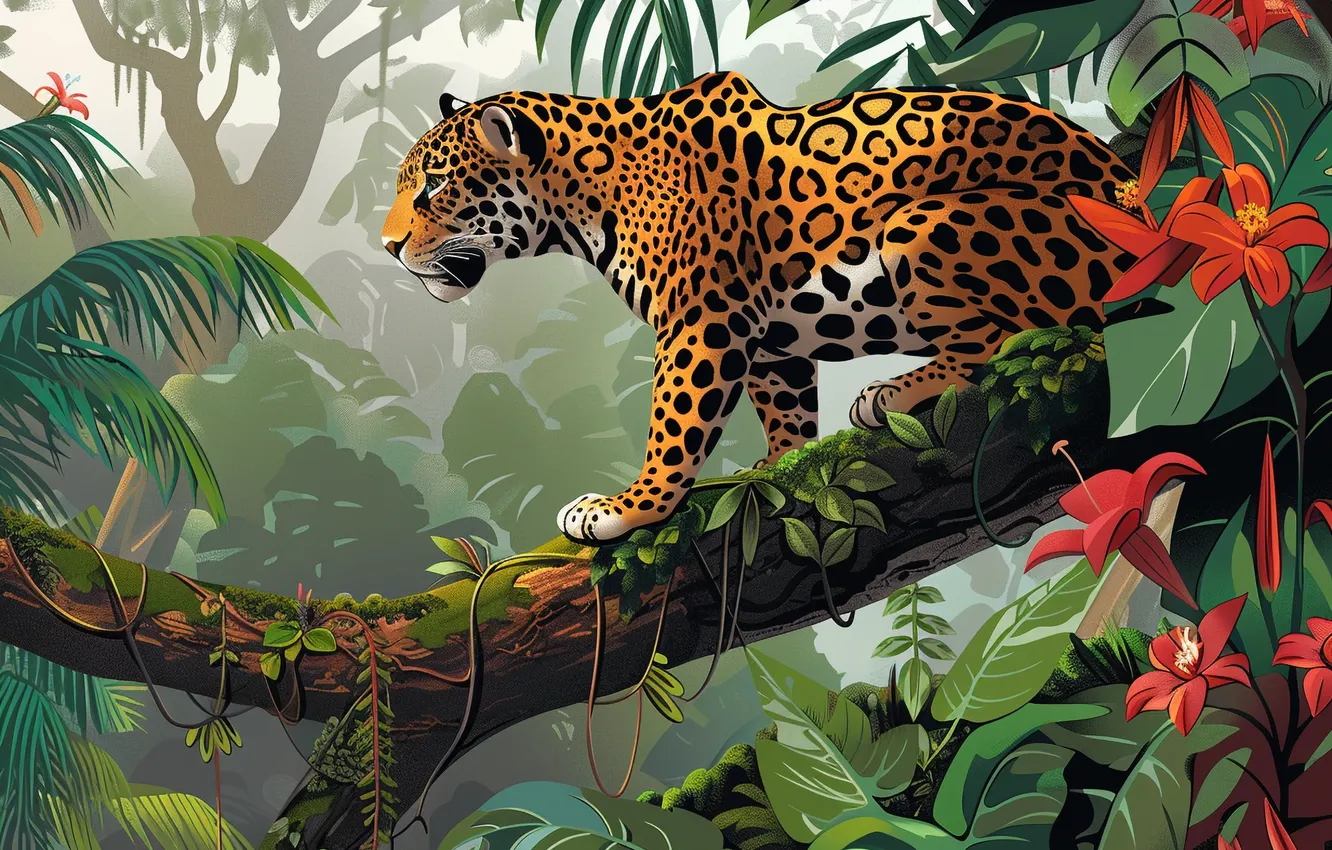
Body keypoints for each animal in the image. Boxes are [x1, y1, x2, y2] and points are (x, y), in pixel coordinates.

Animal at [381, 71, 1137, 546]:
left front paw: (630, 508)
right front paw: (775, 467)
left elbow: (675, 426)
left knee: (1014, 340)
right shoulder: (773, 341)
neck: (582, 198)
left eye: (436, 187)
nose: (387, 247)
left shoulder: (700, 322)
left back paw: (891, 392)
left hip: (918, 226)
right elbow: (785, 412)